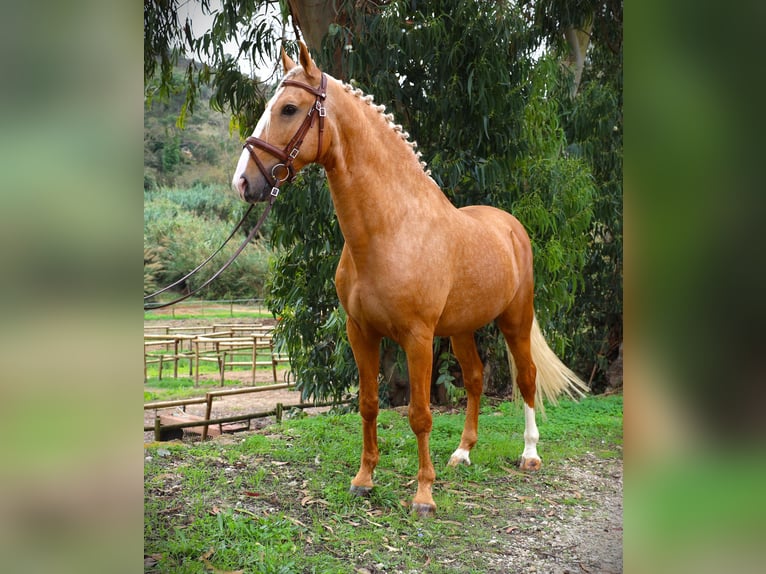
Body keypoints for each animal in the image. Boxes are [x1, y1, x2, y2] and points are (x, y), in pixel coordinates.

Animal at [232, 40, 588, 516]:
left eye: (289, 108)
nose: (244, 182)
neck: (392, 228)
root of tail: (511, 227)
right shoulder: (361, 332)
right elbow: (368, 405)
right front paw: (364, 480)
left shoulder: (418, 338)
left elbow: (420, 414)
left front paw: (423, 496)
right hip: (461, 329)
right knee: (475, 379)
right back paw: (462, 453)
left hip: (516, 318)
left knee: (527, 377)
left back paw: (530, 454)